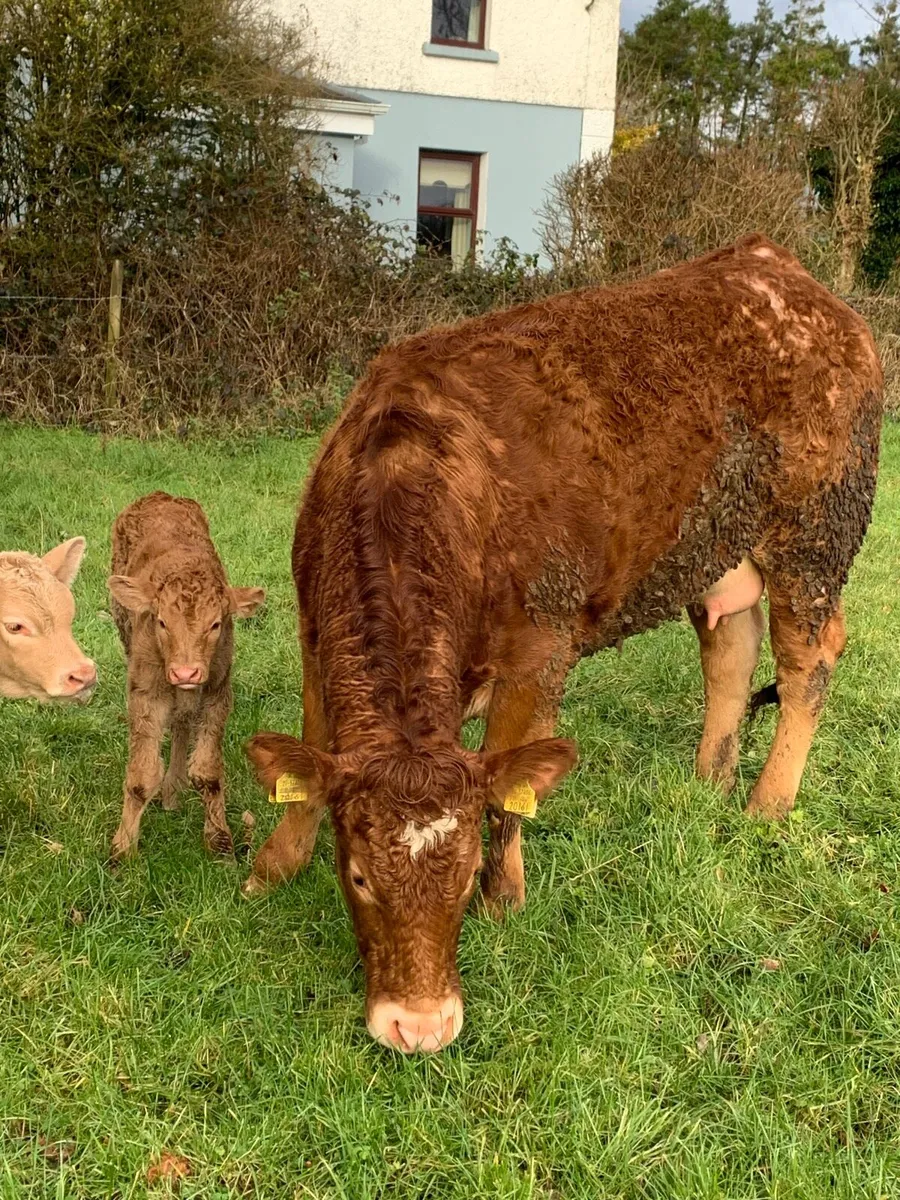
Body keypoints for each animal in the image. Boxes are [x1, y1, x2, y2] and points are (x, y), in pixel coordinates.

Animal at [107, 492, 265, 861]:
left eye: (216, 624)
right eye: (162, 622)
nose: (185, 671)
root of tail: (159, 495)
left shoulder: (217, 693)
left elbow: (207, 772)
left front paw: (220, 842)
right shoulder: (146, 693)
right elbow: (141, 776)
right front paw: (123, 850)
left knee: (181, 722)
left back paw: (173, 789)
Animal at [243, 235, 882, 1053]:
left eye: (461, 874)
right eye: (356, 875)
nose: (418, 1026)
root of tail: (782, 270)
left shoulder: (540, 651)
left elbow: (509, 780)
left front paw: (504, 895)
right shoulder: (313, 632)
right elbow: (311, 750)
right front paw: (276, 862)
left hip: (815, 535)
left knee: (808, 664)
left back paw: (766, 804)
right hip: (714, 546)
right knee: (731, 649)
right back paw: (708, 780)